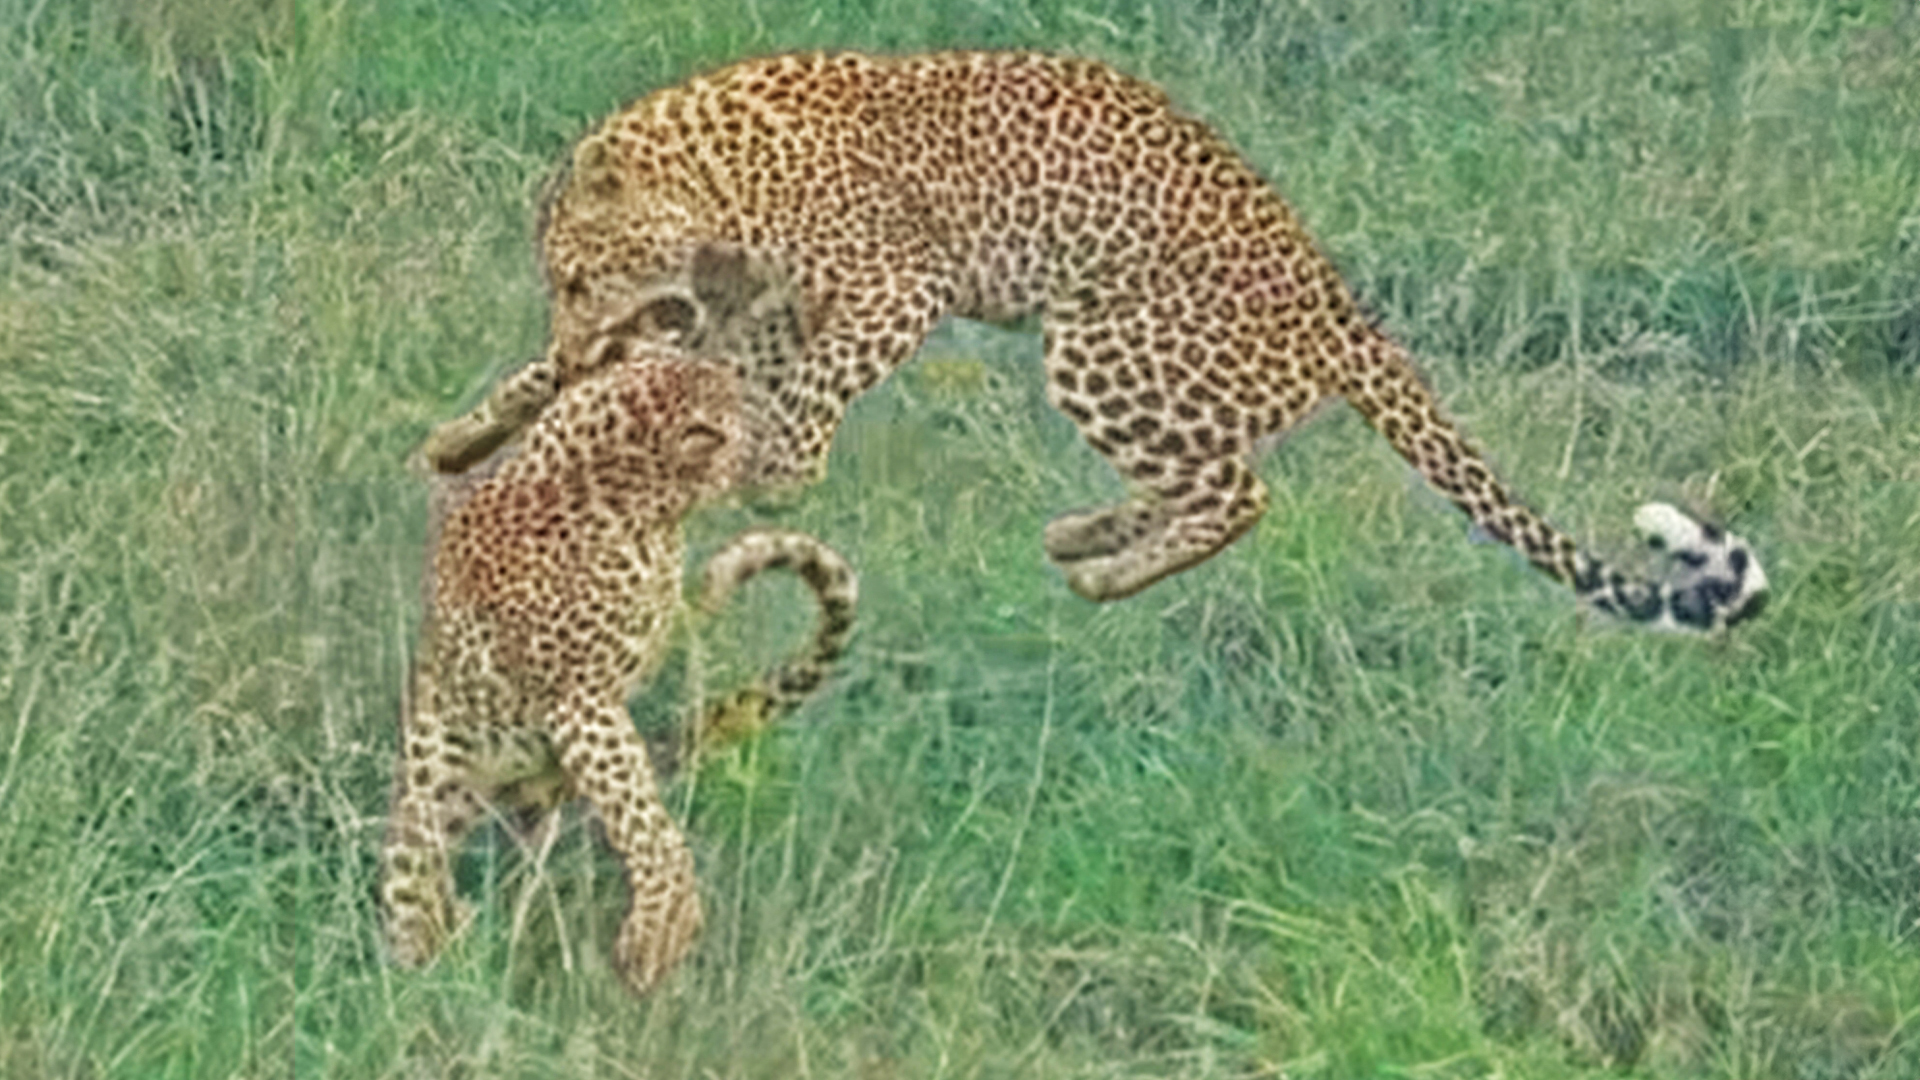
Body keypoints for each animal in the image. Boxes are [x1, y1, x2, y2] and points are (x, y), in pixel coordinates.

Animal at [383, 348, 858, 997]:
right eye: (737, 420)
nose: (779, 450)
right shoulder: (581, 700)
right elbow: (642, 816)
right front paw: (661, 929)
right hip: (437, 790)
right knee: (414, 884)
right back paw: (429, 972)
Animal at [421, 49, 1767, 633]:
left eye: (575, 274)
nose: (579, 332)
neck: (707, 178)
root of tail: (1344, 304)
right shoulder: (748, 321)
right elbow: (617, 386)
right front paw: (470, 435)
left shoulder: (889, 290)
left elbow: (802, 401)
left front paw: (772, 471)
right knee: (1211, 476)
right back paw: (1086, 536)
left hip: (1105, 343)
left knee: (1237, 491)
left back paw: (1106, 570)